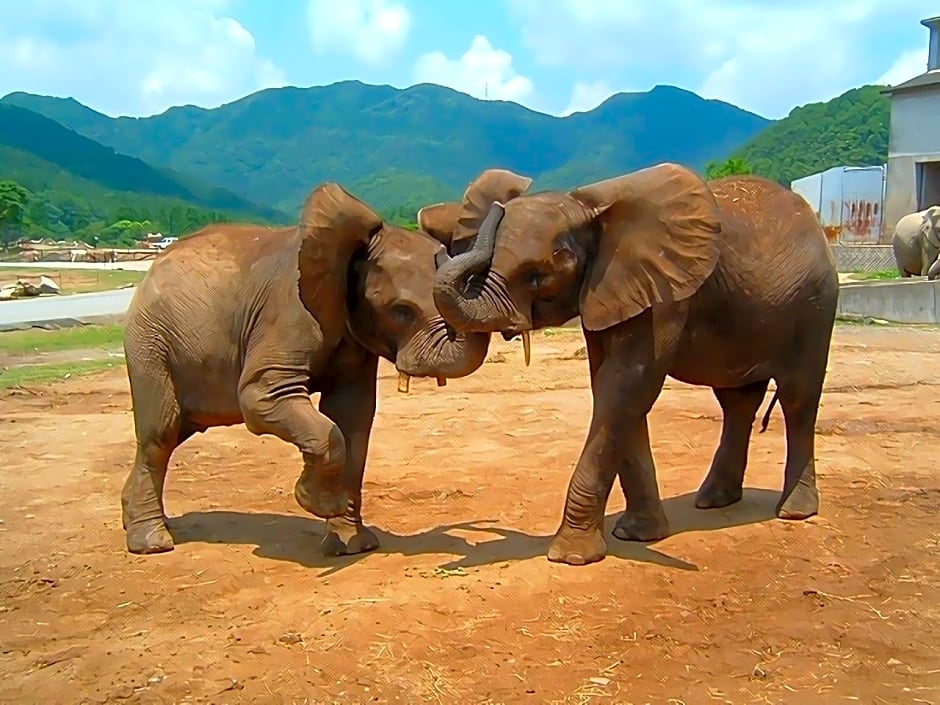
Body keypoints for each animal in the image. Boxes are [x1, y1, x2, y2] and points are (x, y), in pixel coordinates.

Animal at [121, 180, 520, 556]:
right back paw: (152, 543)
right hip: (149, 341)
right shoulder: (287, 314)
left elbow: (352, 417)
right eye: (400, 311)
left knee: (174, 431)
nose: (502, 205)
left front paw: (352, 546)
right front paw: (319, 504)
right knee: (161, 432)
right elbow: (265, 400)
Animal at [430, 165, 840, 568]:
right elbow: (612, 389)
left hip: (815, 304)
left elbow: (627, 385)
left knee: (798, 399)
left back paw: (795, 511)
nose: (499, 205)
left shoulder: (662, 294)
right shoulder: (611, 291)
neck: (586, 208)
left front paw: (571, 557)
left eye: (540, 274)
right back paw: (714, 500)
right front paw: (638, 535)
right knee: (737, 401)